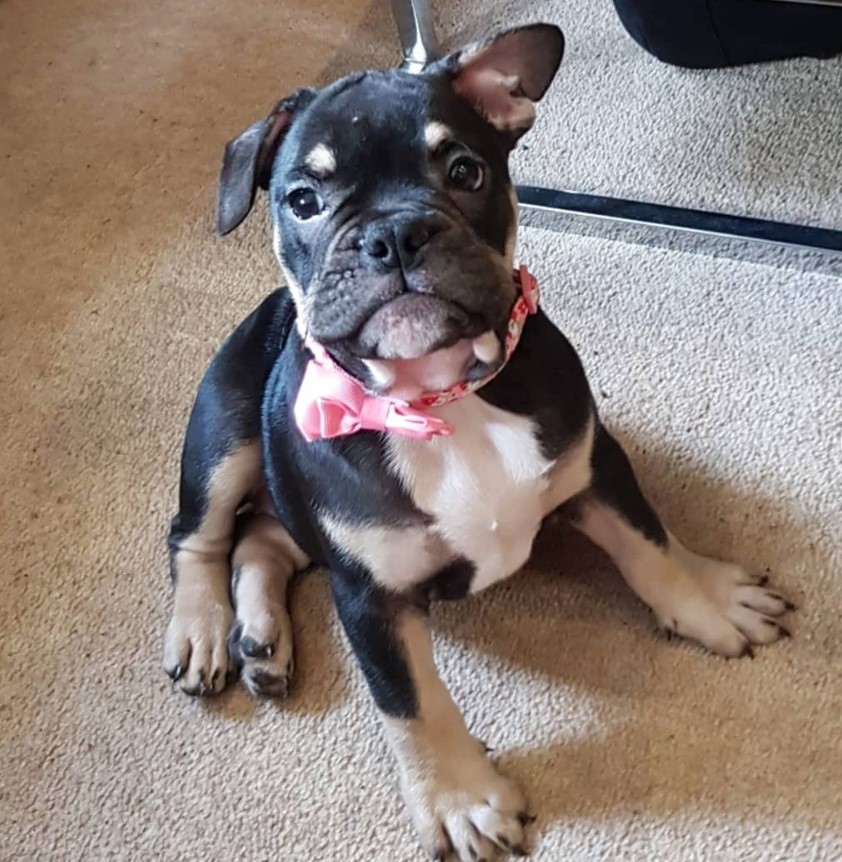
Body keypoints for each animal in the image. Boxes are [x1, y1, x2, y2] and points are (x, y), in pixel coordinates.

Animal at [161, 23, 792, 860]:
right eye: (303, 200)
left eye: (465, 171)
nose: (395, 232)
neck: (444, 396)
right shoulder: (368, 593)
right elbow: (411, 702)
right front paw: (460, 800)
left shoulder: (594, 464)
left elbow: (650, 545)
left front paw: (710, 602)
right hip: (225, 427)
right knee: (199, 534)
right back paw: (204, 632)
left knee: (262, 537)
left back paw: (260, 639)